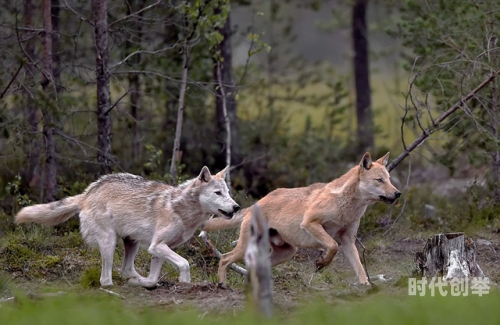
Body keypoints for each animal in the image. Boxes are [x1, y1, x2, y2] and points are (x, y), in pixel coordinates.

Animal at [14, 166, 239, 288]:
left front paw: (147, 284)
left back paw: (134, 281)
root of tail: (87, 194)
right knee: (105, 278)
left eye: (228, 192)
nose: (236, 207)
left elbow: (153, 278)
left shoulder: (157, 249)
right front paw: (185, 282)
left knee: (125, 270)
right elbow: (184, 263)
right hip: (110, 242)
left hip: (133, 243)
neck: (180, 209)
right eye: (218, 193)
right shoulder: (157, 246)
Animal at [201, 152, 400, 284]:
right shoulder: (311, 224)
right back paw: (223, 285)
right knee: (225, 259)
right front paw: (321, 263)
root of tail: (257, 203)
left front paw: (367, 290)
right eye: (379, 180)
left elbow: (360, 271)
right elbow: (332, 247)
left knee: (250, 268)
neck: (348, 206)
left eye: (389, 179)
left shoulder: (348, 240)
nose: (398, 193)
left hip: (287, 252)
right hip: (245, 249)